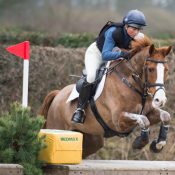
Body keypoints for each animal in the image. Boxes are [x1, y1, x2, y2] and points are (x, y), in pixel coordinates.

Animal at [40, 36, 172, 159]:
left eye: (166, 69)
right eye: (150, 69)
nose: (160, 100)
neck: (131, 81)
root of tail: (58, 94)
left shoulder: (148, 112)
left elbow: (165, 116)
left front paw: (158, 144)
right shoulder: (118, 120)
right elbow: (144, 120)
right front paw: (139, 142)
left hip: (92, 139)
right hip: (57, 127)